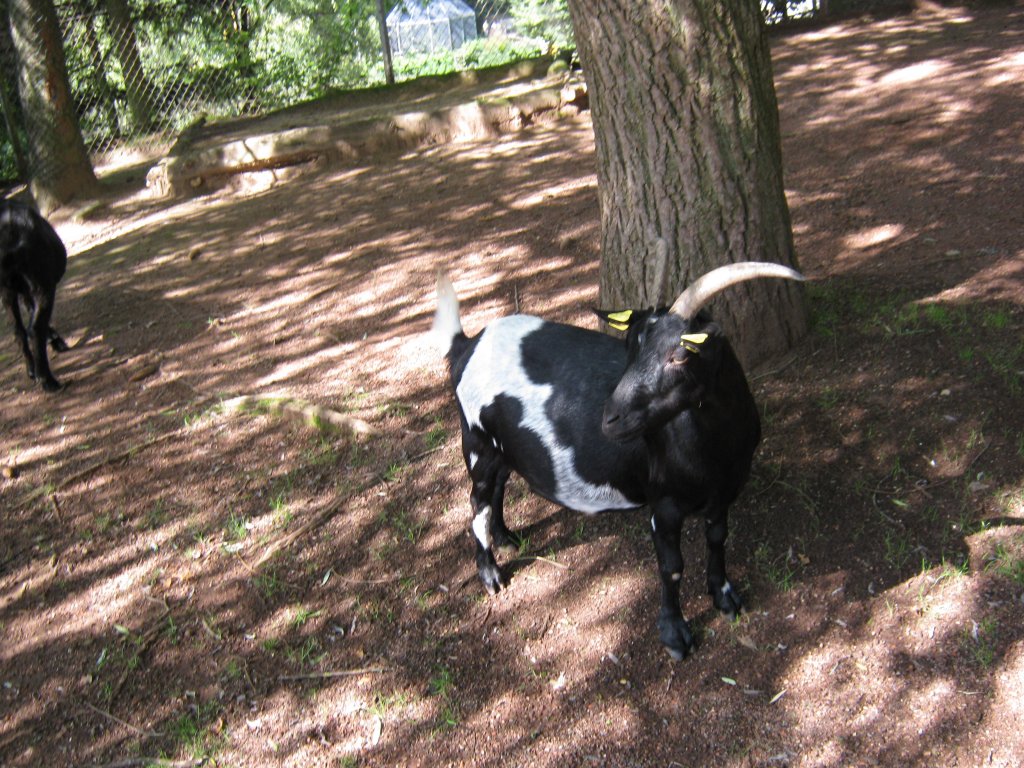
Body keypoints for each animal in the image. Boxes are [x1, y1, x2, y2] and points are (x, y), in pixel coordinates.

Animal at [0, 199, 71, 391]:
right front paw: (56, 340)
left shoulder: (21, 291)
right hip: (42, 285)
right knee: (35, 328)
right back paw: (48, 381)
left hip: (7, 291)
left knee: (18, 330)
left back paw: (31, 371)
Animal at [436, 262, 802, 659]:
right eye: (628, 351)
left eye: (680, 354)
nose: (610, 418)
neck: (717, 447)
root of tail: (466, 344)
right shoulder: (664, 504)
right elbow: (672, 567)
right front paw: (675, 635)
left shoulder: (724, 493)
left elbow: (718, 539)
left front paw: (725, 597)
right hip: (477, 442)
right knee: (478, 502)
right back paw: (490, 574)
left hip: (502, 445)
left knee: (499, 485)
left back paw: (505, 536)